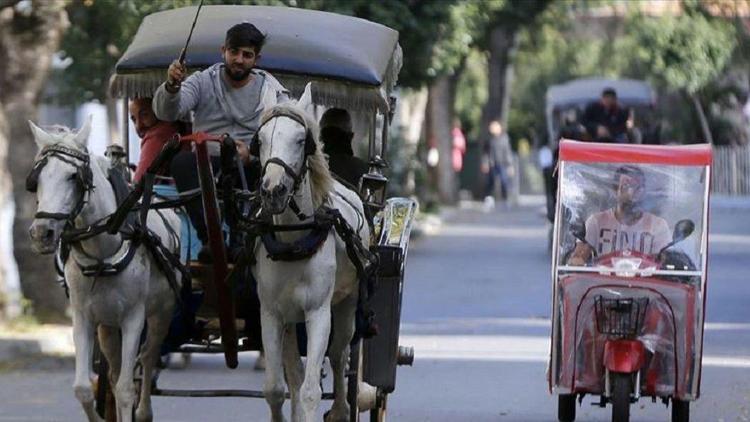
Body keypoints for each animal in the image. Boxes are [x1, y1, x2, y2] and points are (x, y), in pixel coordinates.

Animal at [27, 118, 182, 422]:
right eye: (36, 180)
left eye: (73, 177)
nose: (42, 234)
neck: (103, 253)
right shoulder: (84, 317)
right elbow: (83, 388)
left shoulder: (134, 317)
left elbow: (125, 389)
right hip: (108, 326)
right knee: (114, 370)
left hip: (162, 312)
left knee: (148, 357)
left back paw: (143, 411)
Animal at [253, 83, 370, 422]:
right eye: (259, 140)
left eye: (300, 140)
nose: (273, 191)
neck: (294, 238)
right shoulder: (271, 312)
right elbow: (275, 388)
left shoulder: (318, 312)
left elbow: (309, 391)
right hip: (290, 318)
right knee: (293, 371)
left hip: (347, 303)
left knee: (339, 353)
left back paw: (342, 409)